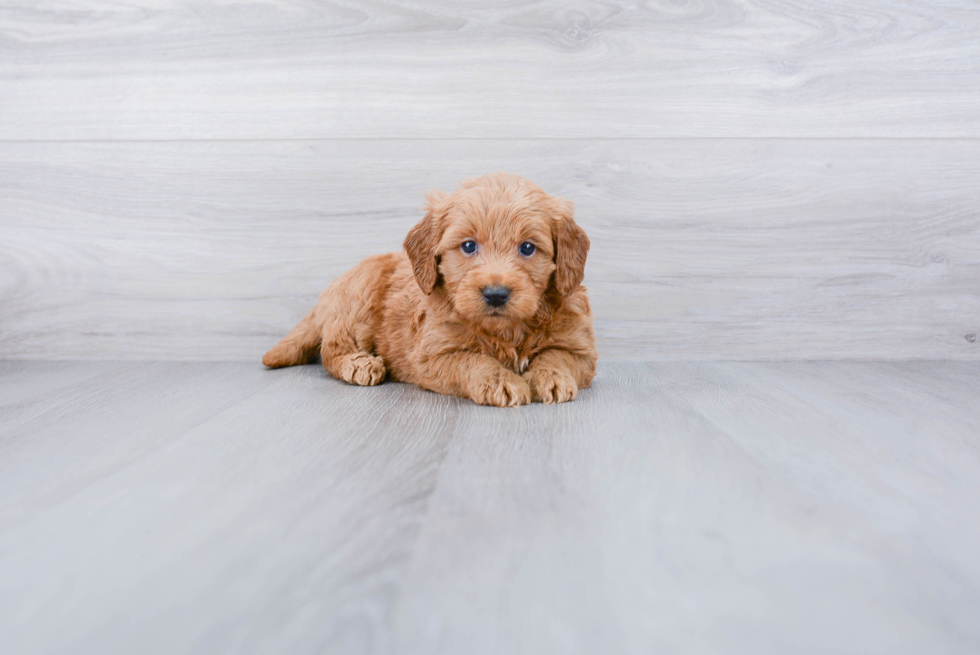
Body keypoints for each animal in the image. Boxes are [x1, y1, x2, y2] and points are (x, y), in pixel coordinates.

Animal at [262, 172, 596, 408]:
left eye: (527, 248)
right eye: (468, 246)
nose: (496, 294)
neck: (506, 331)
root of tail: (324, 301)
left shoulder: (581, 350)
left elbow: (556, 356)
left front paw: (551, 377)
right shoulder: (434, 354)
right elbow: (473, 360)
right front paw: (499, 380)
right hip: (358, 296)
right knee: (331, 351)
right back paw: (360, 363)